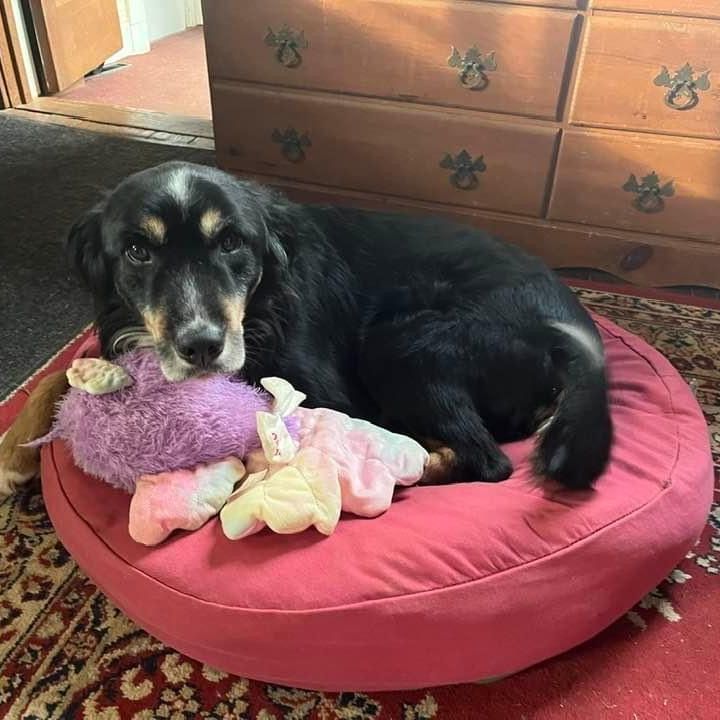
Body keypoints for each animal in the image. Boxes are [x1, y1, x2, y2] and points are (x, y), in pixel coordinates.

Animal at [0, 162, 612, 498]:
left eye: (231, 242)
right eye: (136, 251)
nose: (201, 347)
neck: (260, 305)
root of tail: (582, 338)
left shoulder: (317, 388)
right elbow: (58, 377)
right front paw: (12, 451)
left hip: (402, 342)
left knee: (486, 460)